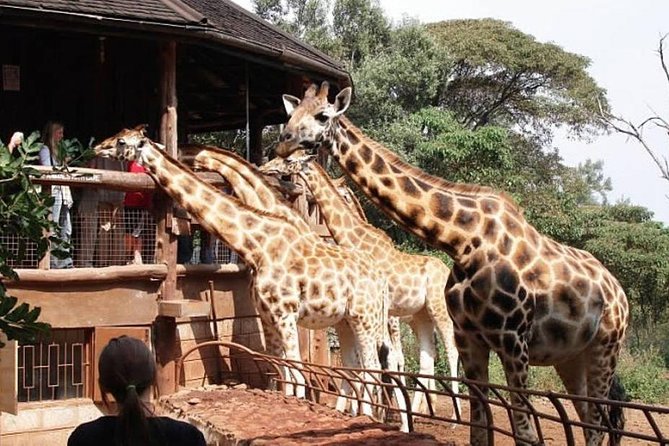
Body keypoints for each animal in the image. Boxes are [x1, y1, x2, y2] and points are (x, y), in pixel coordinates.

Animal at [93, 127, 394, 414]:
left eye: (121, 142)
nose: (96, 148)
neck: (256, 245)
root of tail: (379, 279)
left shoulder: (286, 314)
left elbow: (296, 373)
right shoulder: (268, 315)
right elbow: (281, 371)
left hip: (366, 319)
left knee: (374, 368)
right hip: (346, 320)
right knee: (361, 368)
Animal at [260, 154, 461, 415]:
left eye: (286, 160)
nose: (265, 167)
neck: (357, 241)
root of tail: (447, 272)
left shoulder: (383, 312)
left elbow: (385, 359)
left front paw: (373, 409)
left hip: (439, 310)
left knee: (451, 351)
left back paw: (454, 411)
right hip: (420, 316)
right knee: (427, 359)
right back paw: (421, 410)